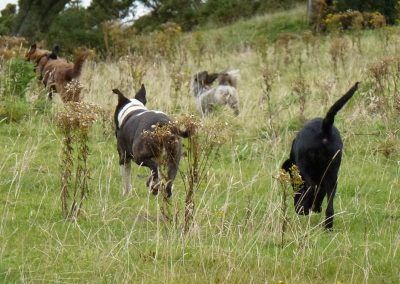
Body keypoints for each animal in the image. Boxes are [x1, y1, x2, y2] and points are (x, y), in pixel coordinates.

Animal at [282, 81, 360, 229]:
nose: (298, 208)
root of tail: (325, 128)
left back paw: (305, 210)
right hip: (332, 173)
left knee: (312, 187)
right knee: (329, 203)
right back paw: (327, 225)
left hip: (306, 169)